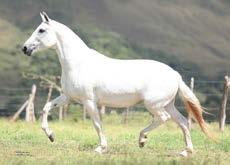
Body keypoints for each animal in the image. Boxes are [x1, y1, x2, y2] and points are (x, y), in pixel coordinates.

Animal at [22, 12, 211, 157]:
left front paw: (101, 148)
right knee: (183, 122)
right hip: (168, 104)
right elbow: (46, 108)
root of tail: (175, 75)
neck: (78, 64)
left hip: (154, 105)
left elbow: (97, 124)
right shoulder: (68, 97)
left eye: (41, 30)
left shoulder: (89, 101)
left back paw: (142, 139)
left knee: (163, 119)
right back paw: (185, 152)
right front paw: (51, 136)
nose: (25, 48)